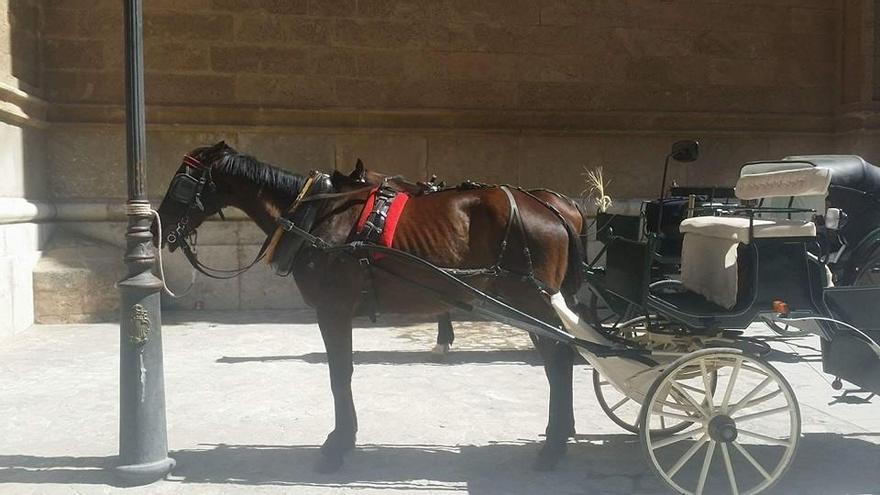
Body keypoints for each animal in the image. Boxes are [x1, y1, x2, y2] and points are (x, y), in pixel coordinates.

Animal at [154, 142, 584, 472]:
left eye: (181, 183)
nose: (160, 224)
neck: (316, 217)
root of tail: (553, 207)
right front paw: (344, 438)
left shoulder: (332, 311)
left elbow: (339, 374)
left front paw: (338, 443)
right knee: (557, 361)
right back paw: (559, 434)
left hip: (529, 301)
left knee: (559, 360)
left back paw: (553, 446)